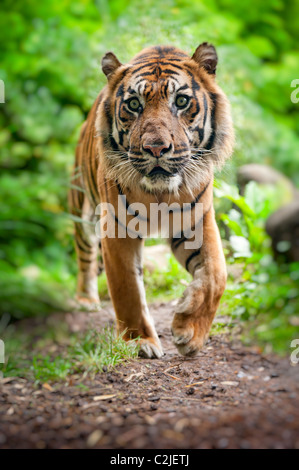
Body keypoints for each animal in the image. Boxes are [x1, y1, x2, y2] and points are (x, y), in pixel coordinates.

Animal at [69, 44, 236, 358]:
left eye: (181, 101)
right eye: (134, 105)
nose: (156, 148)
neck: (159, 195)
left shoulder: (197, 221)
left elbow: (216, 275)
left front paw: (189, 332)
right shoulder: (117, 229)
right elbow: (128, 290)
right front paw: (140, 341)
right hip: (83, 210)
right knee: (85, 255)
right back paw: (86, 300)